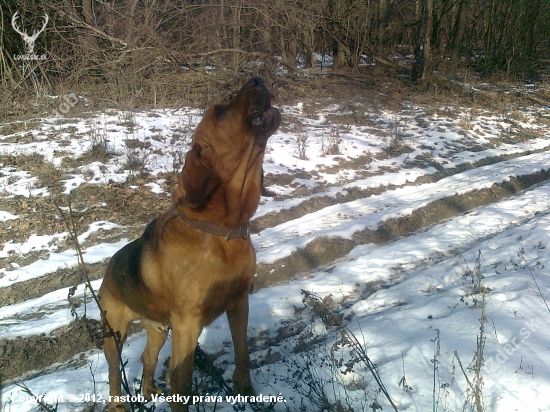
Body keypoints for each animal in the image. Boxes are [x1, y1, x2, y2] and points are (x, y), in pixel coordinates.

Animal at [99, 76, 280, 408]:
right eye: (220, 112)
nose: (257, 79)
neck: (219, 232)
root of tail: (107, 272)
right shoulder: (187, 326)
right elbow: (181, 383)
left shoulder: (239, 303)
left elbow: (243, 355)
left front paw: (246, 391)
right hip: (113, 335)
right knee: (113, 375)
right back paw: (119, 404)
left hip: (158, 329)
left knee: (147, 358)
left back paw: (148, 392)